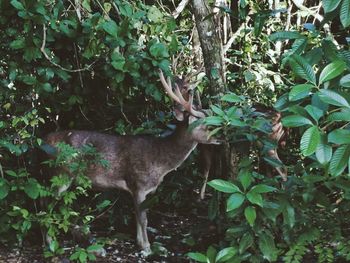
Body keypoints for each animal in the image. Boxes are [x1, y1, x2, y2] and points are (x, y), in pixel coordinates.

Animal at [42, 69, 220, 254]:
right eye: (206, 125)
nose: (221, 137)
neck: (160, 161)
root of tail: (43, 141)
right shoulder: (139, 184)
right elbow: (144, 219)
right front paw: (147, 247)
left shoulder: (137, 190)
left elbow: (136, 216)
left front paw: (140, 243)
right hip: (61, 173)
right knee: (46, 203)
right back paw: (49, 242)